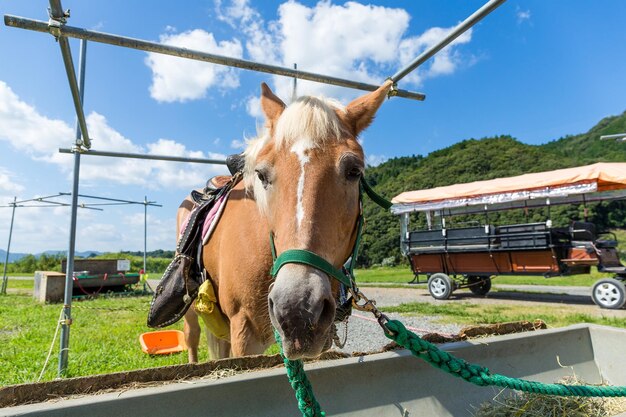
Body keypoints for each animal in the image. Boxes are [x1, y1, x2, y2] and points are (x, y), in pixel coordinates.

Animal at [178, 79, 388, 360]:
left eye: (354, 171)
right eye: (261, 174)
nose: (297, 309)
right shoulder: (243, 332)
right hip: (192, 312)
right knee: (192, 337)